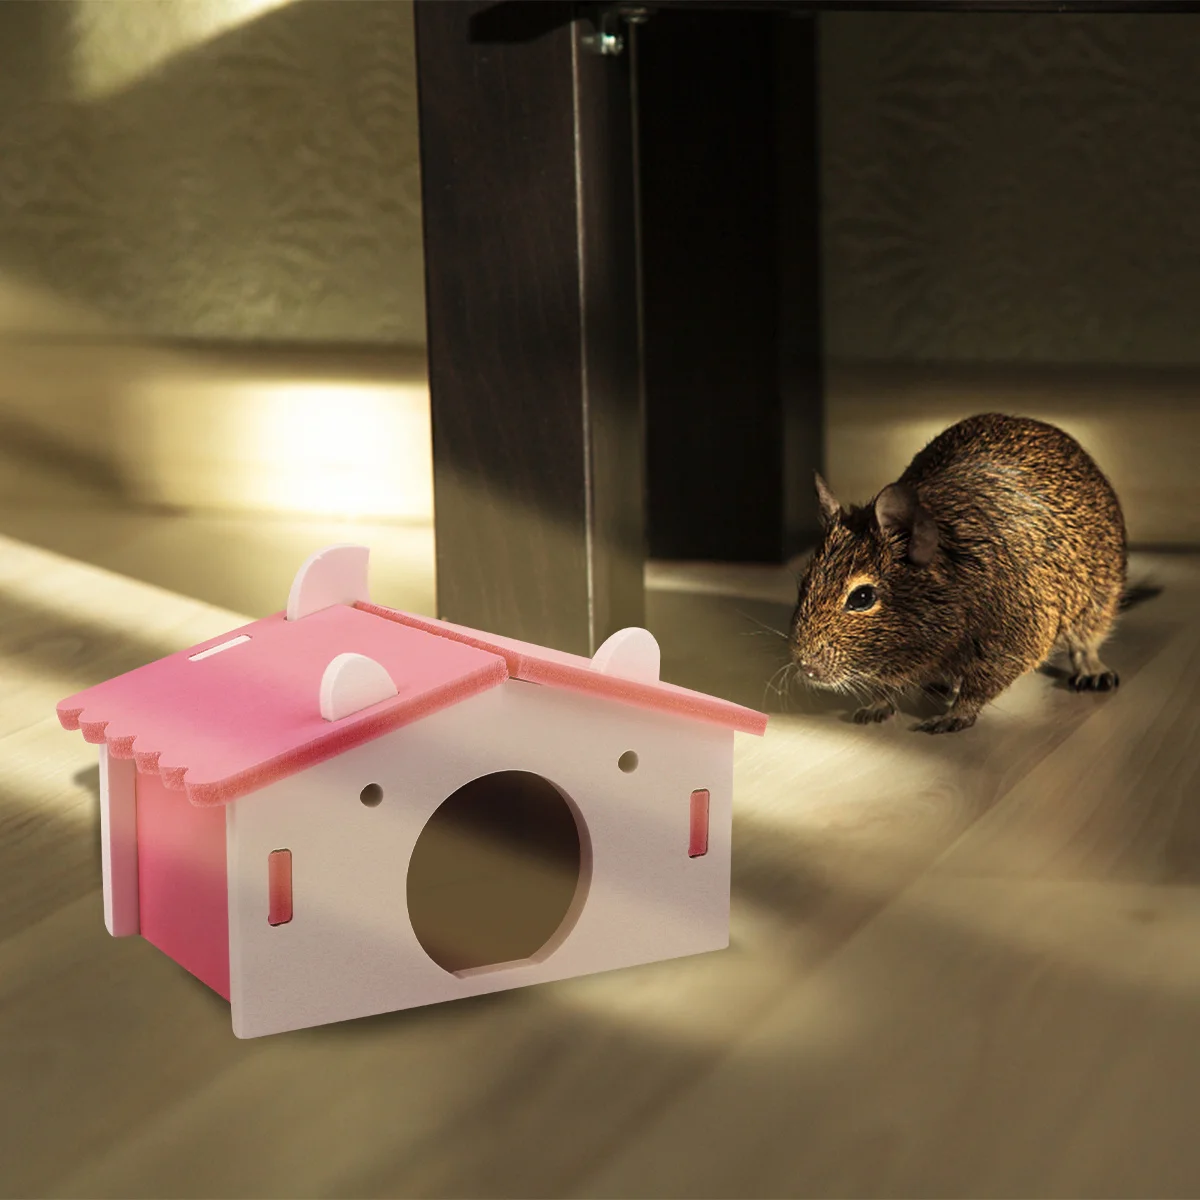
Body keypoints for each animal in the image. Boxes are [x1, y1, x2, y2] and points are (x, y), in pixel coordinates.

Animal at [787, 413, 1127, 733]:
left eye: (862, 597)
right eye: (804, 583)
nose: (805, 666)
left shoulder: (1014, 641)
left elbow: (978, 687)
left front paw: (952, 716)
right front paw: (875, 706)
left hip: (1098, 603)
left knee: (1085, 646)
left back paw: (1094, 674)